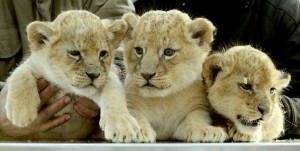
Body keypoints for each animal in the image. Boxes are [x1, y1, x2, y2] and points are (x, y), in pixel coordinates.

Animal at [4, 10, 143, 142]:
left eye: (103, 53)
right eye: (75, 53)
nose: (94, 75)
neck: (65, 86)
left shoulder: (107, 77)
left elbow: (113, 92)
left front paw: (122, 126)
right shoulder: (34, 63)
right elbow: (20, 73)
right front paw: (21, 113)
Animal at [122, 9, 227, 143]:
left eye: (168, 52)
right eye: (139, 50)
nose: (146, 75)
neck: (164, 100)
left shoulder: (196, 108)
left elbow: (196, 118)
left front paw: (207, 130)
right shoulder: (131, 103)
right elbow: (135, 115)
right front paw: (135, 130)